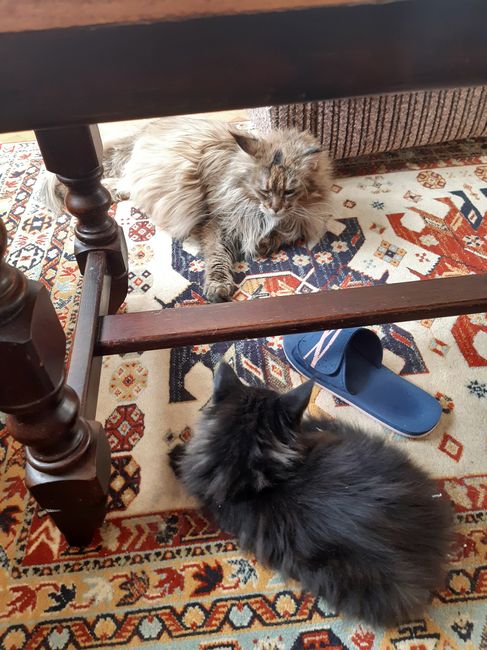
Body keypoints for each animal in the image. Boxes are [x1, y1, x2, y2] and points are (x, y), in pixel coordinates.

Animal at [42, 117, 332, 302]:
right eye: (263, 190)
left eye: (289, 192)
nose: (275, 207)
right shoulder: (217, 223)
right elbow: (218, 257)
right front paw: (218, 286)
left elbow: (282, 235)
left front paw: (267, 241)